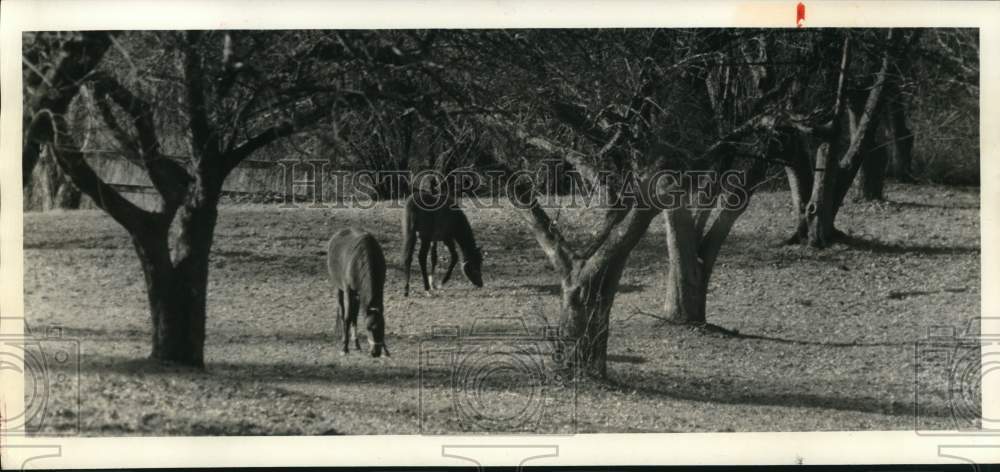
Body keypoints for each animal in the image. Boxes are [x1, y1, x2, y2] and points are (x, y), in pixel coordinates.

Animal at [328, 229, 390, 358]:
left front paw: (386, 350)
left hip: (357, 295)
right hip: (339, 288)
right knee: (343, 312)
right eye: (368, 328)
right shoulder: (348, 290)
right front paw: (344, 348)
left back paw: (357, 344)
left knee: (354, 315)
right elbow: (347, 317)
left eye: (383, 328)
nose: (375, 352)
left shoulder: (379, 287)